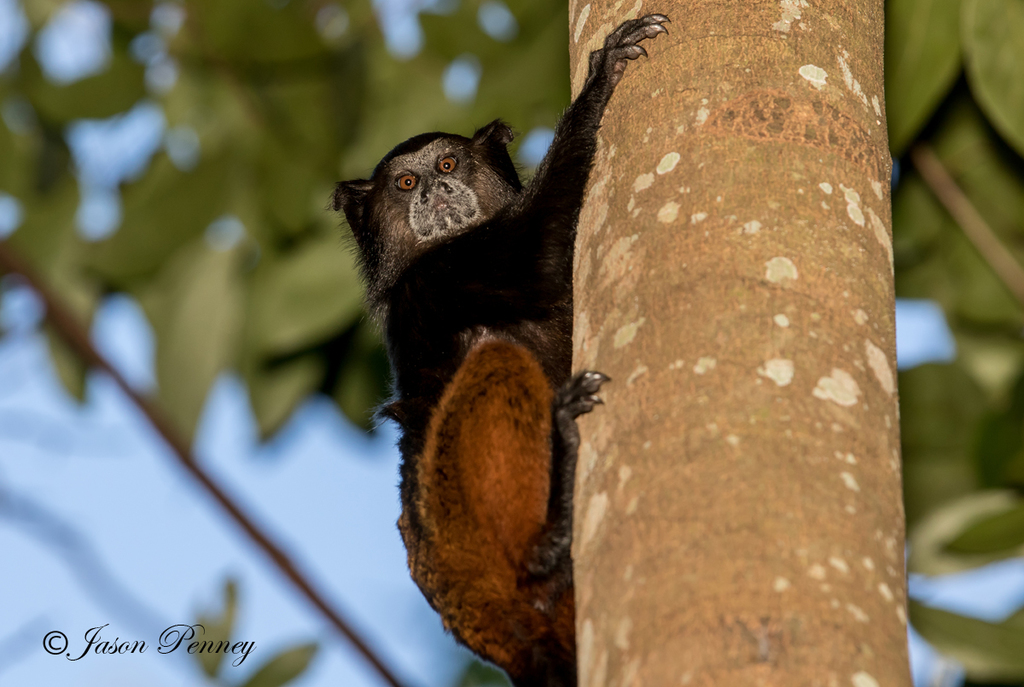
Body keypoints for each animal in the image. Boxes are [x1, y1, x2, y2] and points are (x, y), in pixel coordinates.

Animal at [331, 14, 667, 687]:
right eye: (406, 182)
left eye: (449, 162)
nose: (435, 191)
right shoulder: (437, 278)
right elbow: (531, 259)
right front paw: (598, 86)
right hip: (464, 527)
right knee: (494, 359)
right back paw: (550, 533)